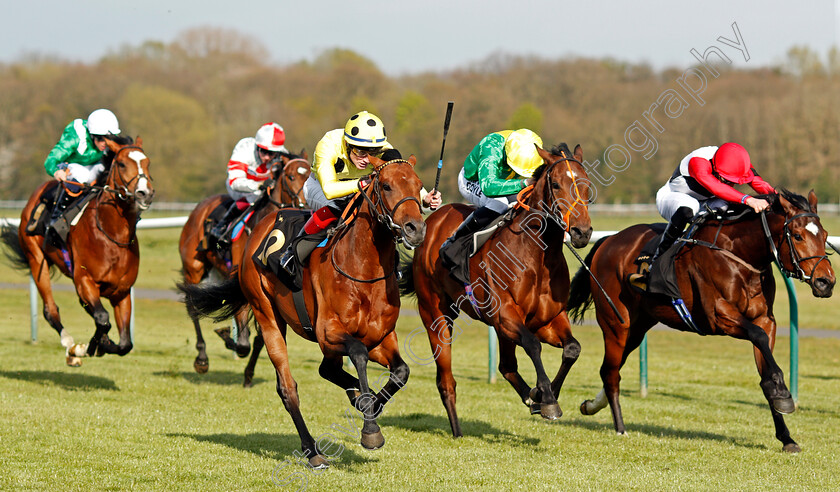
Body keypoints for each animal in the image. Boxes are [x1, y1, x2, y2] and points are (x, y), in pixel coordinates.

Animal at [0, 135, 155, 366]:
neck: (112, 236)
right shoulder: (85, 281)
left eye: (147, 163)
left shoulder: (121, 291)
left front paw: (102, 344)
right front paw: (87, 348)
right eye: (121, 164)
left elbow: (125, 343)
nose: (145, 193)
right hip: (36, 259)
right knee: (50, 310)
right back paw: (70, 345)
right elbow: (103, 318)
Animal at [179, 152, 310, 374]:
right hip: (194, 269)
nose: (305, 206)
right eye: (291, 176)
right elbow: (243, 340)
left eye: (312, 174)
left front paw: (249, 372)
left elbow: (259, 338)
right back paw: (202, 357)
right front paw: (231, 339)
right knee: (192, 306)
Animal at [398, 144, 592, 436]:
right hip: (435, 313)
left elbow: (573, 348)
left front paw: (546, 394)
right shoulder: (506, 315)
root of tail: (431, 222)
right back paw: (457, 430)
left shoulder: (546, 319)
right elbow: (533, 346)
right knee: (446, 380)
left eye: (587, 184)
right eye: (557, 184)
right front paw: (547, 398)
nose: (582, 232)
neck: (535, 254)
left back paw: (530, 396)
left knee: (506, 366)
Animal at [568, 189, 836, 454]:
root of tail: (609, 240)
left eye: (824, 235)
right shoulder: (719, 316)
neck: (739, 253)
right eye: (798, 236)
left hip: (637, 327)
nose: (826, 282)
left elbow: (765, 366)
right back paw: (620, 427)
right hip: (616, 323)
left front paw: (786, 434)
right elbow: (758, 338)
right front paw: (782, 393)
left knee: (610, 369)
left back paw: (590, 405)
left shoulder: (765, 320)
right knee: (611, 373)